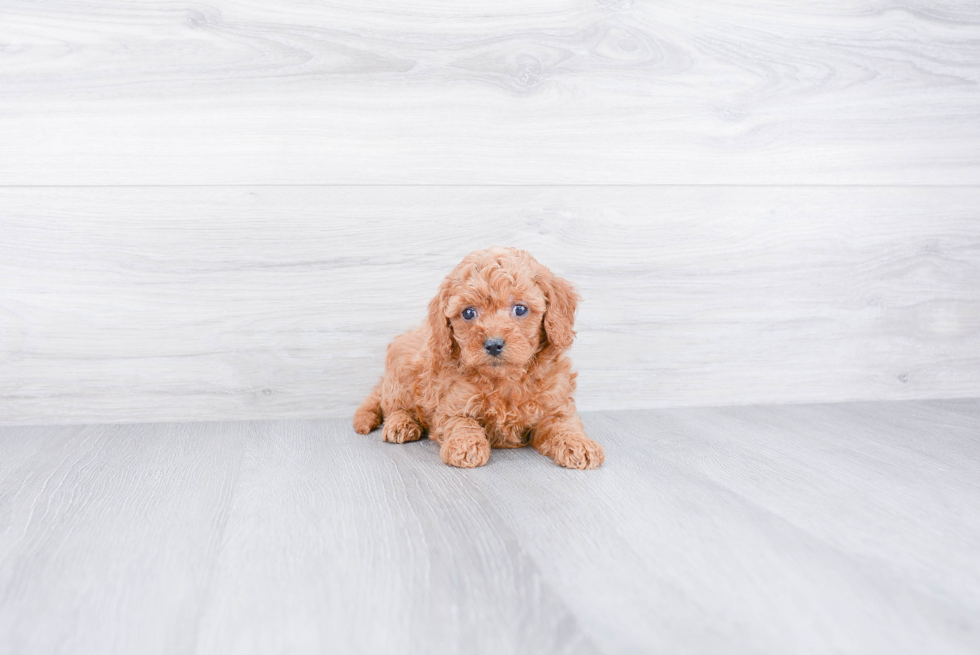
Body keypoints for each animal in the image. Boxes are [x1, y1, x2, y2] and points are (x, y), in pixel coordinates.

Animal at [348, 247, 600, 472]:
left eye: (520, 309)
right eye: (468, 312)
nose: (493, 344)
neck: (505, 380)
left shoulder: (555, 405)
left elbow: (565, 425)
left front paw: (580, 445)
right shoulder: (452, 405)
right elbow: (461, 422)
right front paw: (465, 446)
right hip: (400, 375)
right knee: (394, 406)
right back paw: (402, 424)